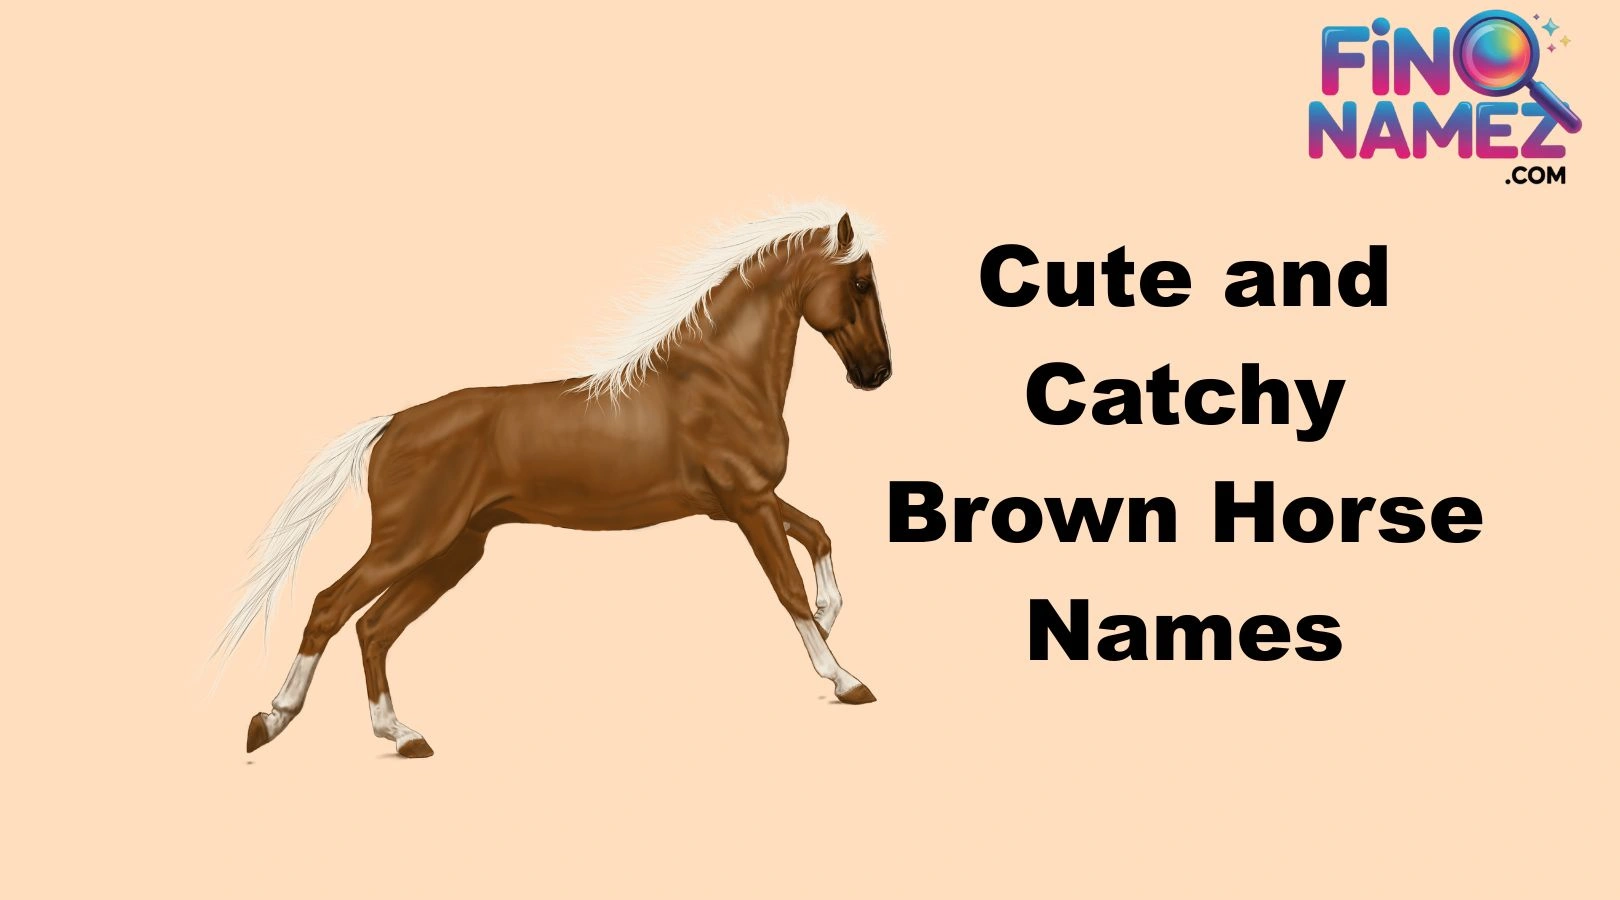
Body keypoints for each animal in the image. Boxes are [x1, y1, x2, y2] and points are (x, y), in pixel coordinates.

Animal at [216, 203, 892, 758]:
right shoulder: (747, 502)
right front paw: (846, 678)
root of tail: (392, 425)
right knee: (332, 607)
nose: (877, 372)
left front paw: (831, 619)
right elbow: (788, 589)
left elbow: (820, 534)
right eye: (860, 283)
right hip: (411, 541)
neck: (722, 376)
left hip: (454, 550)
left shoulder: (741, 501)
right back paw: (271, 720)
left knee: (374, 627)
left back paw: (402, 735)